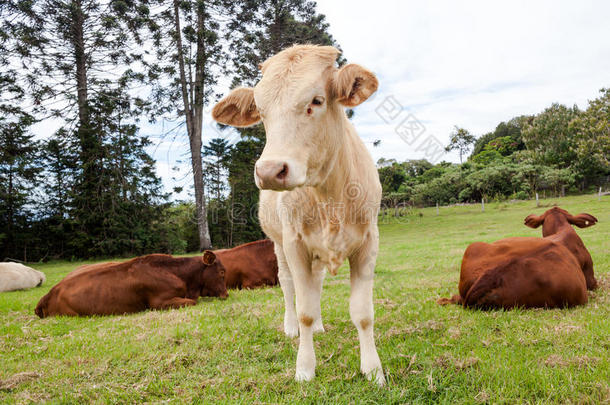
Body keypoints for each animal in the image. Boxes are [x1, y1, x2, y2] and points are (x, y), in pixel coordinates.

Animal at [214, 45, 382, 384]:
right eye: (261, 110)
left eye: (316, 101)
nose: (269, 171)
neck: (330, 197)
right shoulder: (294, 243)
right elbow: (303, 307)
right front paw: (305, 367)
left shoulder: (369, 241)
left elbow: (363, 314)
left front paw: (373, 370)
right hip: (279, 244)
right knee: (288, 284)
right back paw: (293, 327)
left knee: (315, 282)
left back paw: (319, 325)